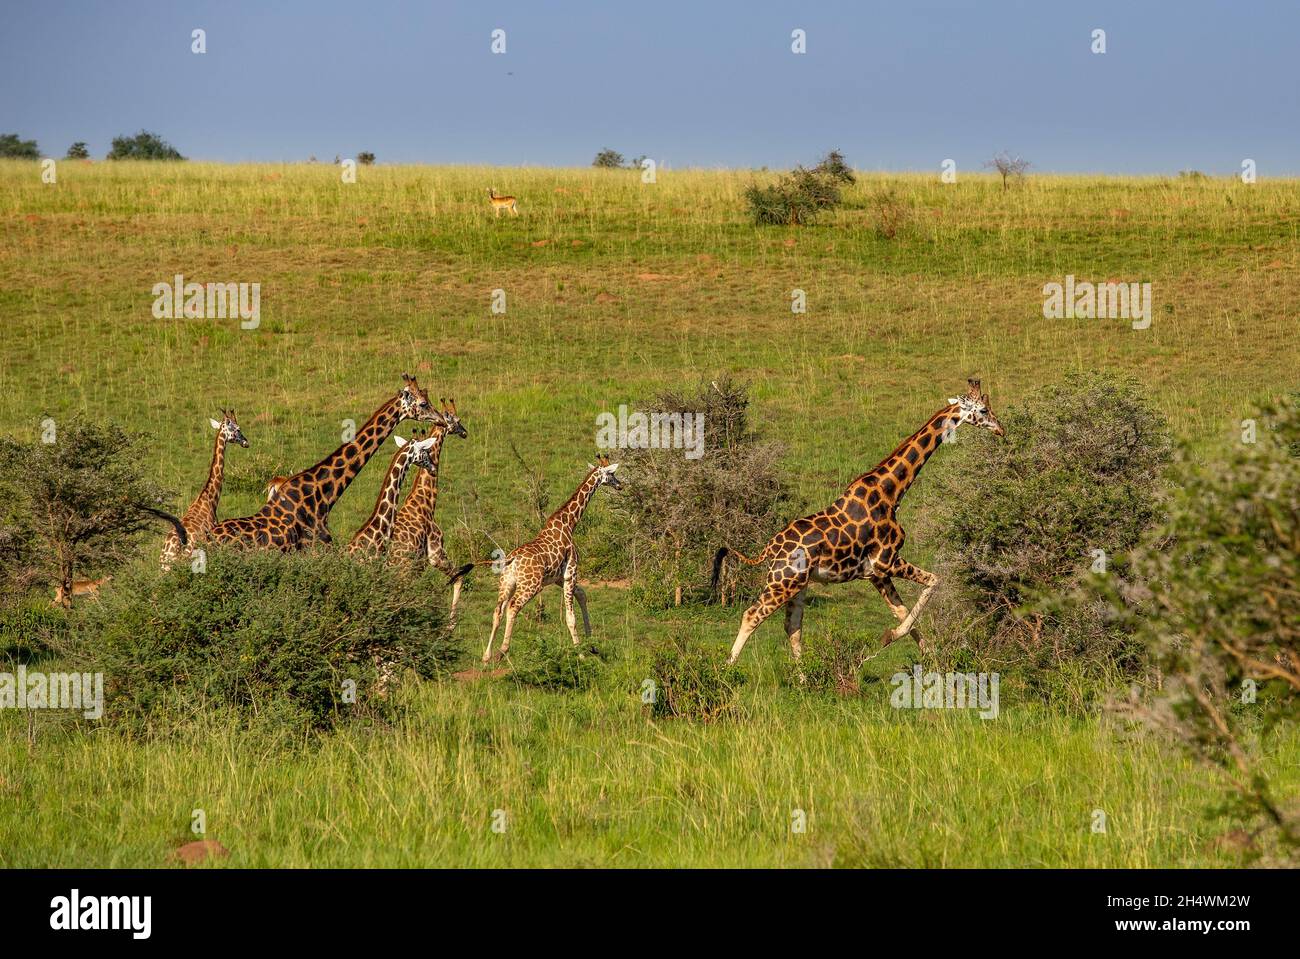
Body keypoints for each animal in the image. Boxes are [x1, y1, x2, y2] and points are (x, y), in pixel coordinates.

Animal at [389, 399, 471, 621]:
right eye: (457, 420)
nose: (464, 432)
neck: (424, 502)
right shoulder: (435, 553)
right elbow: (459, 578)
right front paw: (451, 623)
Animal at [481, 453, 622, 663]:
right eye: (612, 474)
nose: (620, 485)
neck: (569, 523)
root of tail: (512, 561)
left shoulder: (557, 578)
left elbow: (582, 595)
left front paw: (592, 645)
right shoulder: (570, 572)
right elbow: (570, 617)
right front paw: (580, 653)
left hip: (507, 582)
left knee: (498, 609)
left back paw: (487, 655)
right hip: (531, 585)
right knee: (512, 607)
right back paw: (502, 650)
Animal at [713, 379, 1005, 665]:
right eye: (983, 410)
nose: (1000, 429)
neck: (891, 491)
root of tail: (769, 550)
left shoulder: (876, 573)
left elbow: (903, 612)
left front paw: (925, 655)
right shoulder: (887, 560)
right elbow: (934, 581)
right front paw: (894, 640)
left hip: (798, 584)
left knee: (793, 627)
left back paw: (802, 676)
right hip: (783, 581)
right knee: (752, 615)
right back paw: (727, 669)